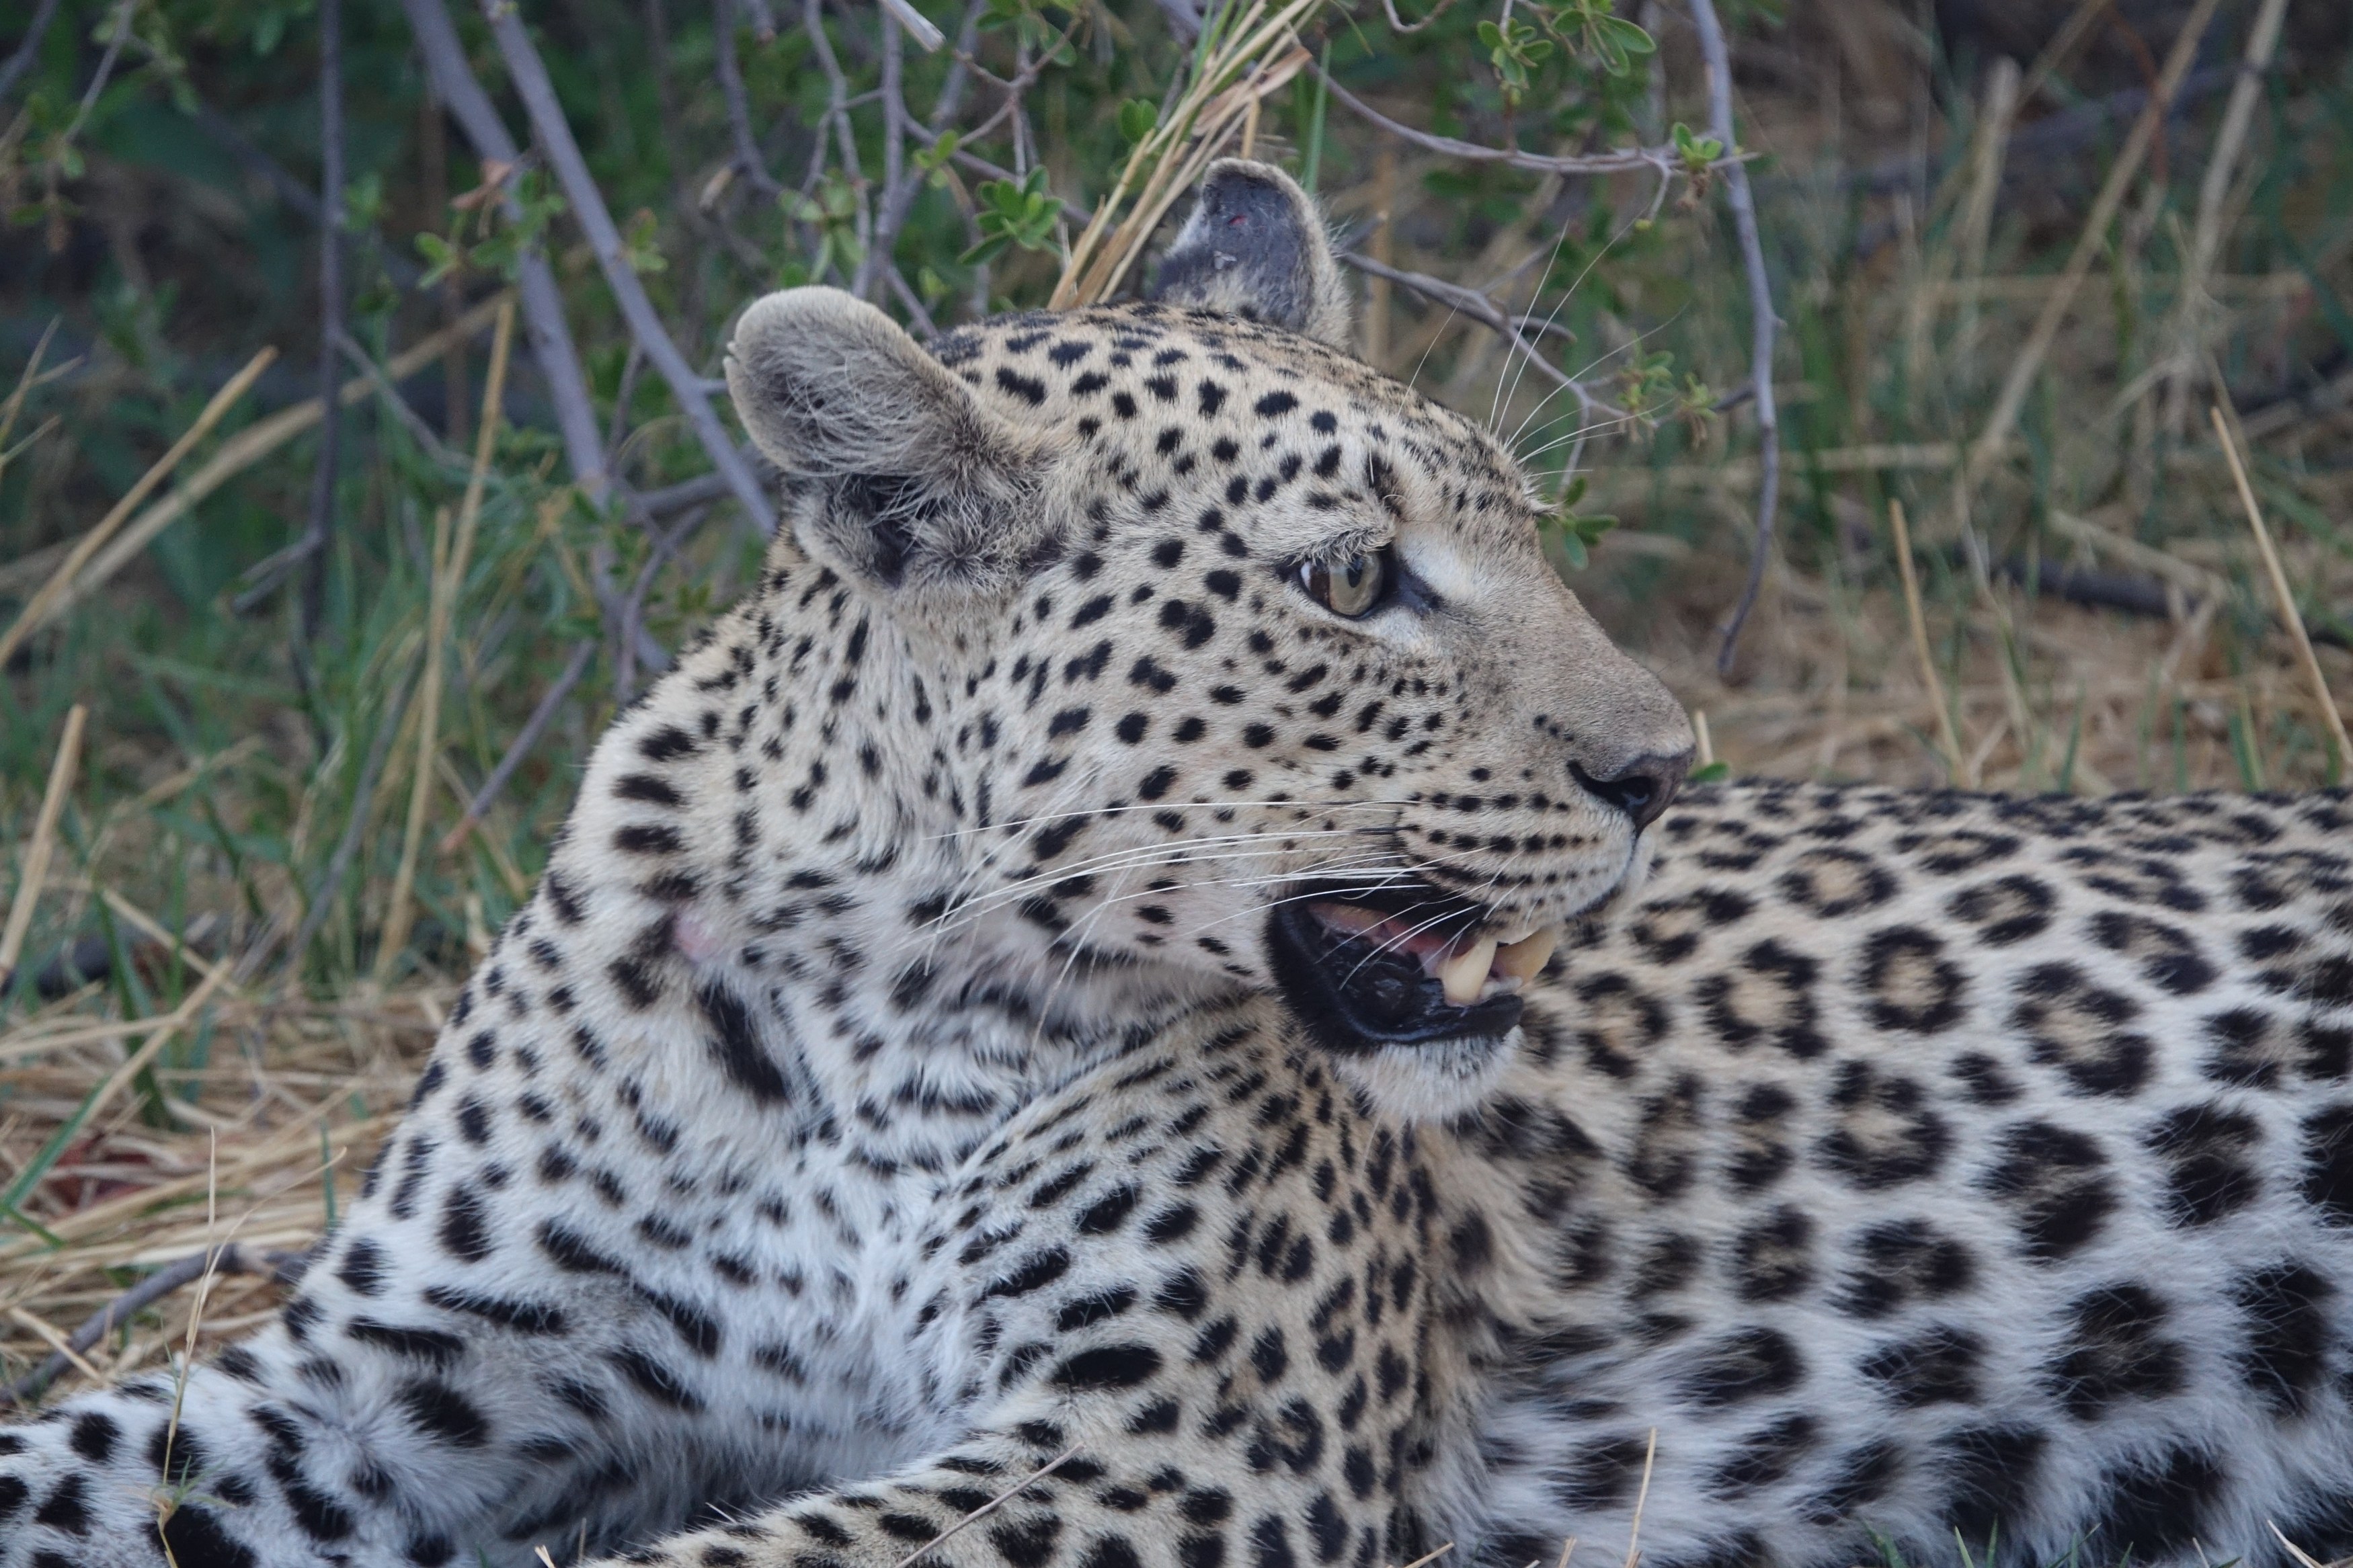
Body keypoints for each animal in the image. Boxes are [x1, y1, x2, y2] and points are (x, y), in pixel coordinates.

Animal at [4, 158, 2351, 1568]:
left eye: (1523, 535)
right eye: (1348, 582)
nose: (1664, 769)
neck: (863, 990)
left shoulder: (1185, 1437)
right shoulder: (388, 1377)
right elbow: (73, 1451)